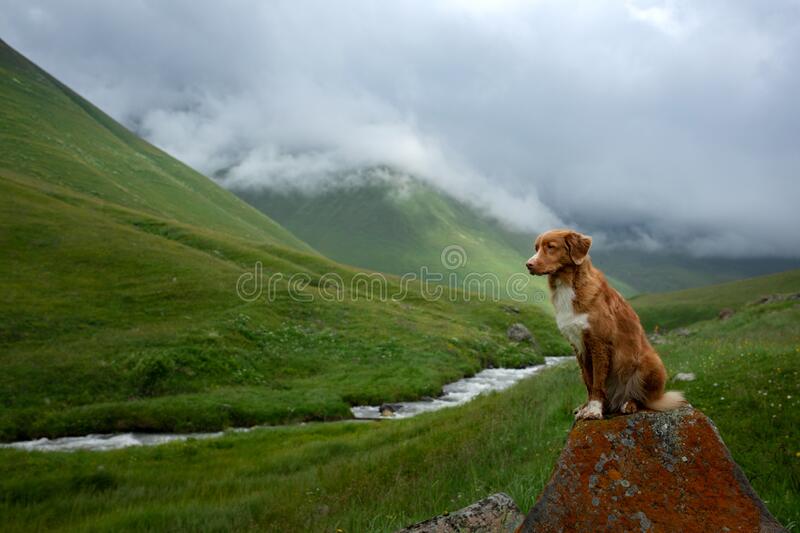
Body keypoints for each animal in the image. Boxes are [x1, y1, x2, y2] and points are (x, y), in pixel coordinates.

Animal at [524, 229, 688, 420]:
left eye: (551, 247)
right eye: (536, 248)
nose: (528, 265)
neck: (569, 285)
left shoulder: (599, 343)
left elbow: (597, 382)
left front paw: (594, 410)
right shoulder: (579, 346)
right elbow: (588, 381)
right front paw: (586, 407)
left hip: (650, 362)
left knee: (644, 398)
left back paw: (629, 404)